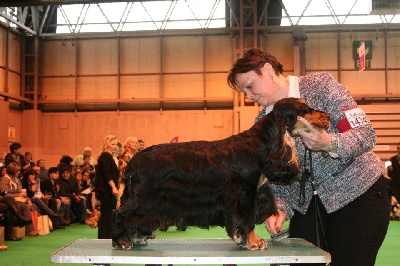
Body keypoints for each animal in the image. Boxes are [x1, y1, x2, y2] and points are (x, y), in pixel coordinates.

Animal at [111, 97, 328, 249]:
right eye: (304, 108)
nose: (327, 116)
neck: (260, 144)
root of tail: (134, 160)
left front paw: (242, 239)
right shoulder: (244, 193)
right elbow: (247, 219)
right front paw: (253, 241)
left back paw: (135, 237)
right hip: (144, 197)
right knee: (119, 213)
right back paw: (120, 241)